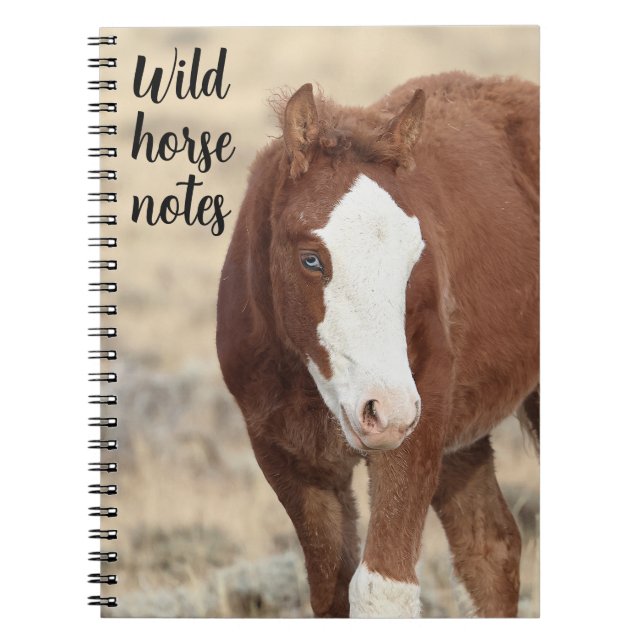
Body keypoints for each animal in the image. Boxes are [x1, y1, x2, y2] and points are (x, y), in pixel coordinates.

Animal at [216, 72, 539, 618]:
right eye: (311, 259)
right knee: (490, 550)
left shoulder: (416, 433)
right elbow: (331, 589)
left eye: (415, 256)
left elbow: (381, 589)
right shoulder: (287, 458)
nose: (386, 412)